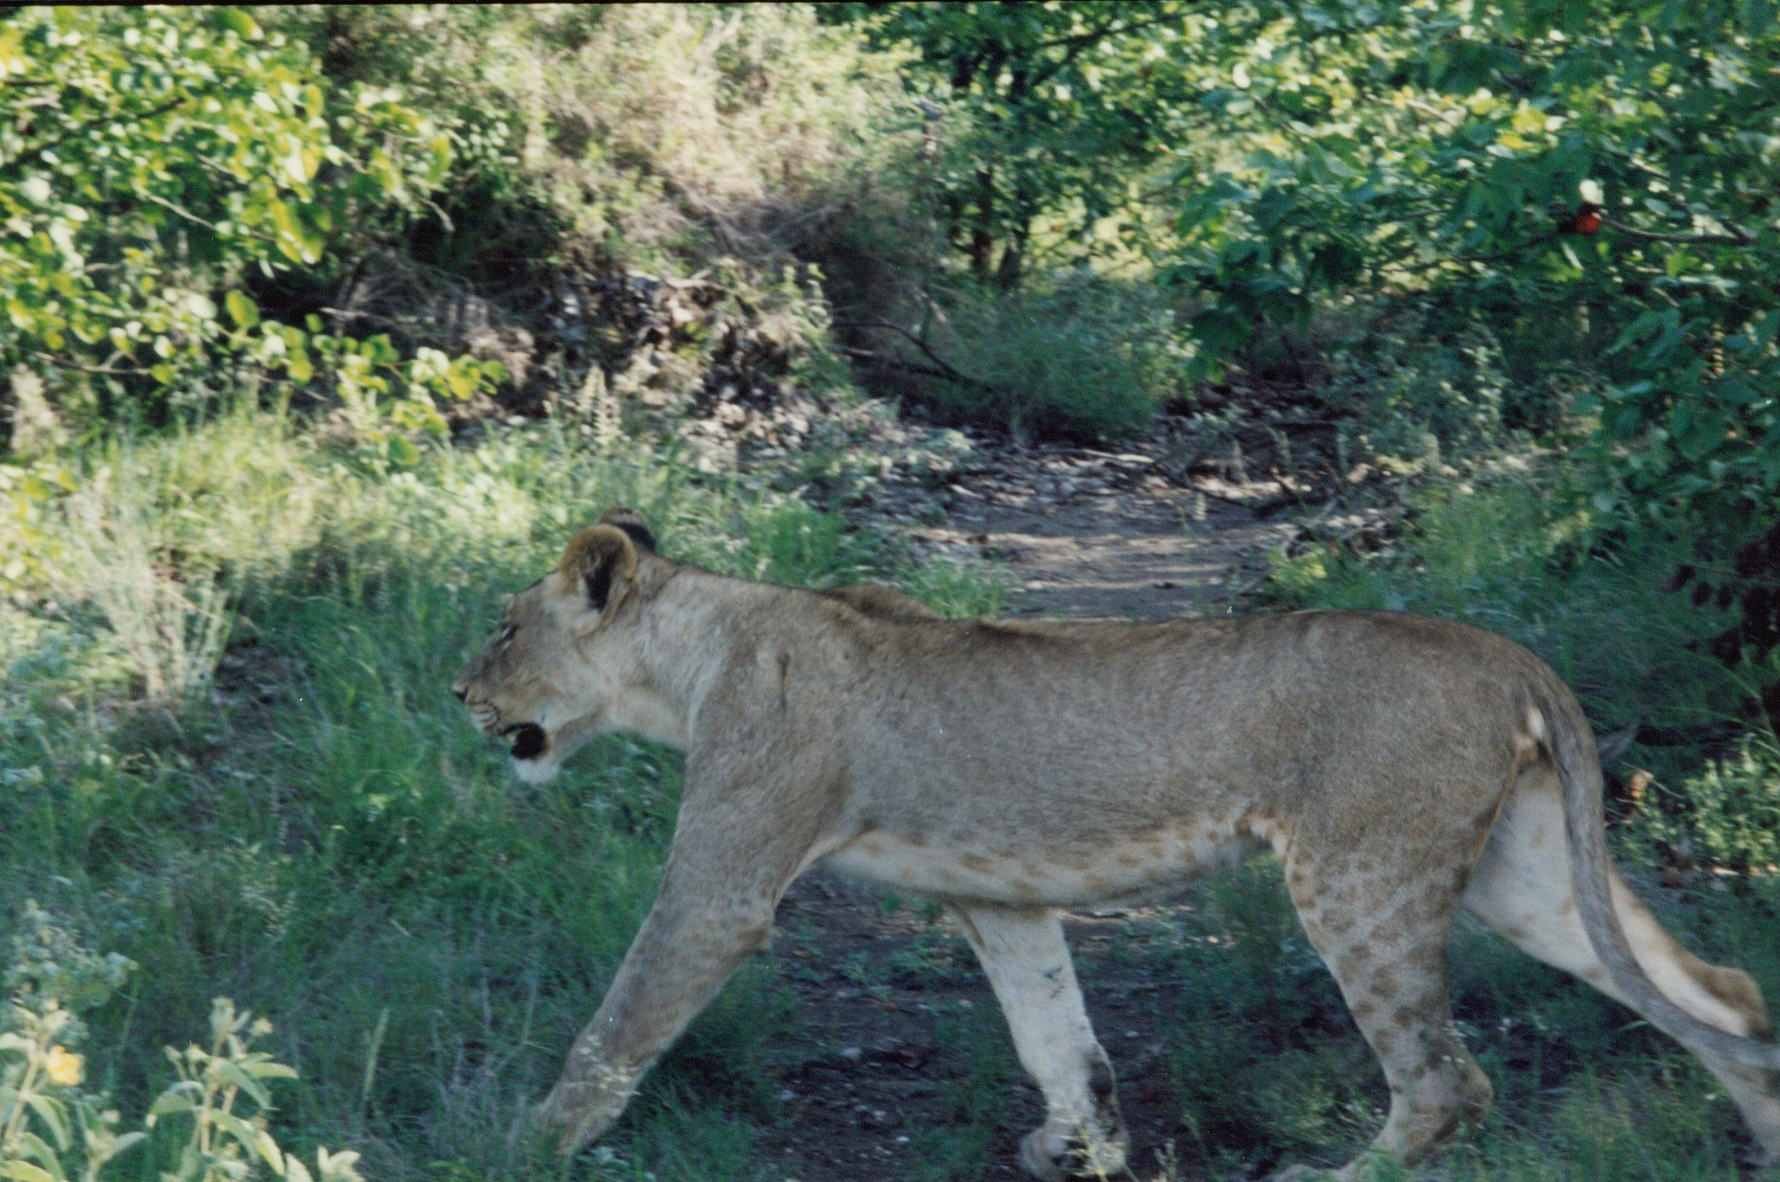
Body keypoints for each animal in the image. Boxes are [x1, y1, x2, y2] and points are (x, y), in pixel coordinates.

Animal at [453, 508, 1780, 1180]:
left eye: (506, 627)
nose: (457, 692)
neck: (697, 655)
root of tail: (1507, 654)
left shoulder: (723, 885)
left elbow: (618, 1021)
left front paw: (524, 1145)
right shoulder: (998, 899)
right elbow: (1053, 1027)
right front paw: (1077, 1146)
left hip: (1358, 878)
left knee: (1449, 1080)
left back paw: (1334, 1177)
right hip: (1527, 876)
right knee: (1719, 991)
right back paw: (1763, 1136)